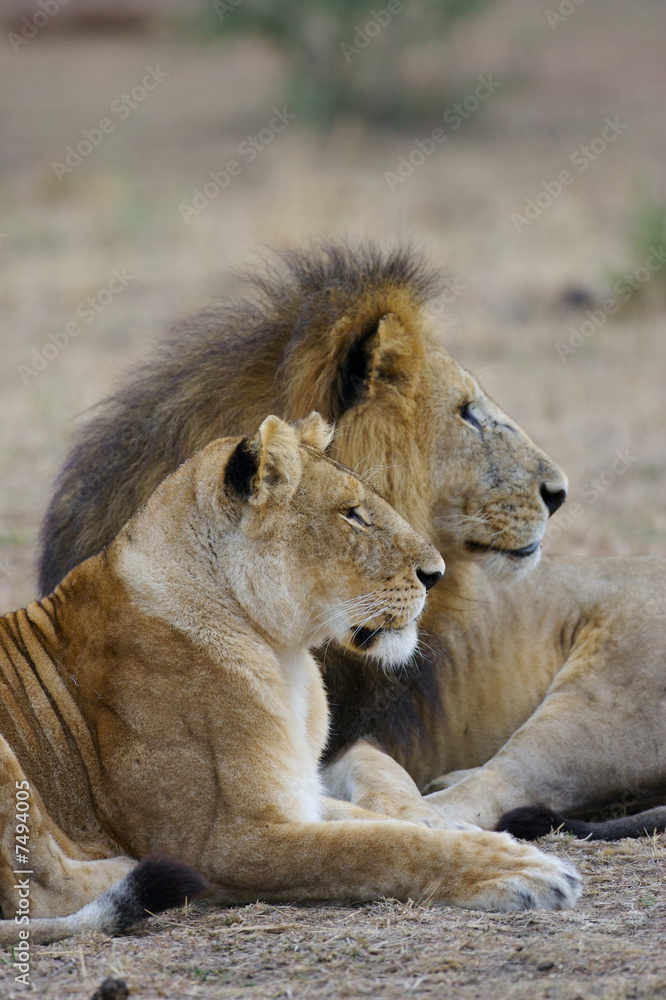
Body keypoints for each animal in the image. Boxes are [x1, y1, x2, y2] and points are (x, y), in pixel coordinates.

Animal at [0, 414, 580, 944]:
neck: (285, 659)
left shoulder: (297, 789)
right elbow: (375, 847)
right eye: (353, 515)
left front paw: (469, 831)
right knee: (47, 891)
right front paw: (522, 869)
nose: (435, 574)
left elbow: (379, 819)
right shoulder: (226, 841)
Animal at [37, 240, 664, 836]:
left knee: (502, 784)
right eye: (467, 412)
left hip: (599, 709)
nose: (559, 493)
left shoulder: (365, 730)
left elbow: (381, 780)